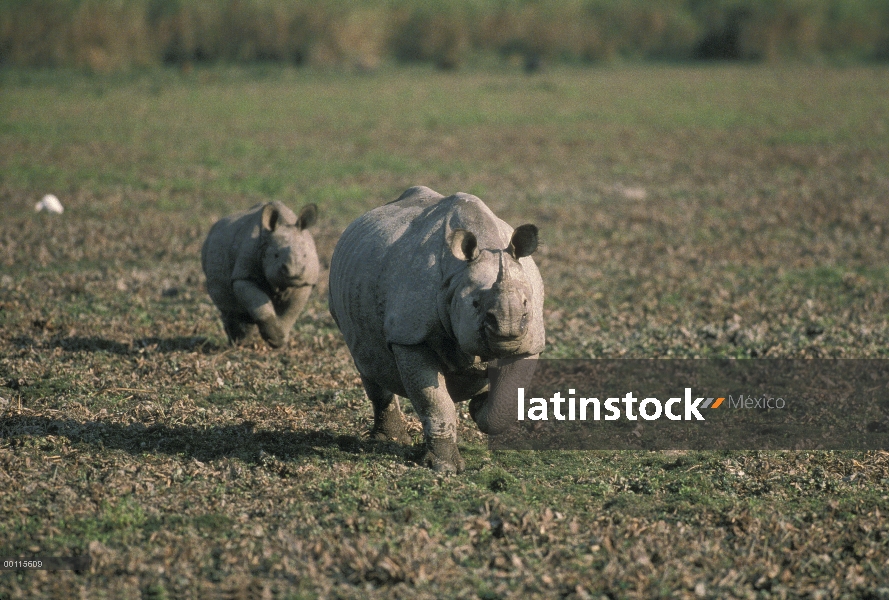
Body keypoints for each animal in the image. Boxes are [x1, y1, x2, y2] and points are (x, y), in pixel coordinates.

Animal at [201, 202, 320, 346]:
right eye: (276, 255)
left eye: (305, 256)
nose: (294, 272)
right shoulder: (244, 275)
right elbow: (259, 303)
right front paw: (274, 339)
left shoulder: (306, 283)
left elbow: (291, 311)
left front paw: (279, 340)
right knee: (230, 309)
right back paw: (238, 343)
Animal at [330, 188, 544, 474]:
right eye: (475, 304)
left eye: (525, 304)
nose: (507, 328)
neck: (457, 277)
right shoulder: (410, 336)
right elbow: (434, 403)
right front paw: (445, 468)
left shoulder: (530, 342)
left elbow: (505, 402)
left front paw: (479, 405)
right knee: (367, 362)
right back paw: (389, 440)